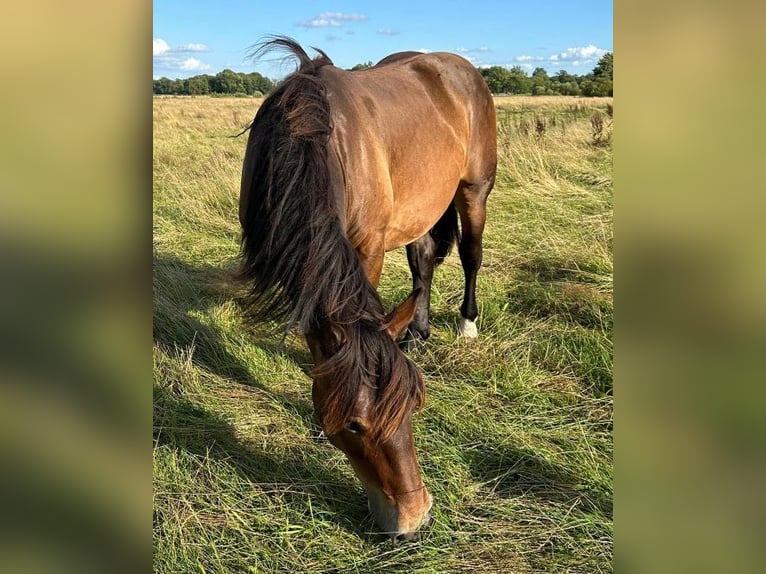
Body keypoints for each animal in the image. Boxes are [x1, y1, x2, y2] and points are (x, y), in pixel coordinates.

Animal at [238, 37, 496, 540]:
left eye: (415, 406)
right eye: (356, 426)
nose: (415, 519)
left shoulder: (369, 246)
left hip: (474, 190)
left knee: (470, 257)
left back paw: (467, 325)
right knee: (422, 262)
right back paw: (416, 332)